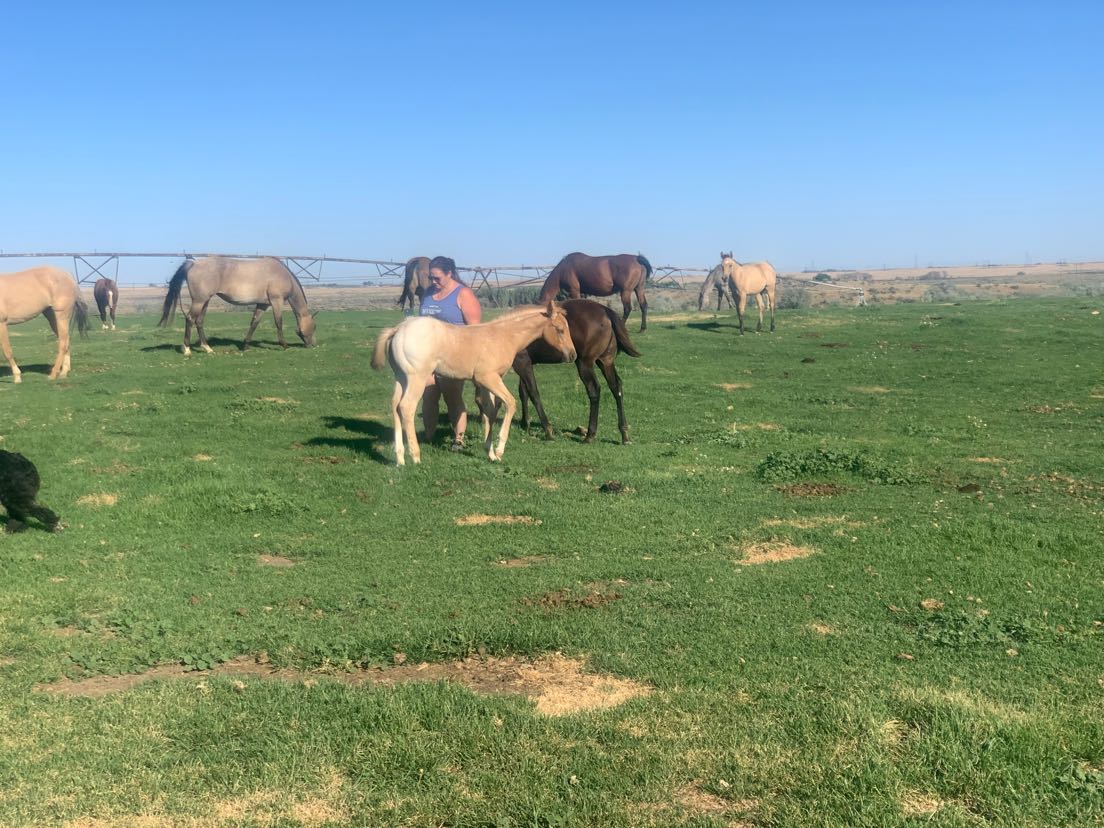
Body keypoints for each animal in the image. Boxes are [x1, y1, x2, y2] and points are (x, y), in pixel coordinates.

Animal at [158, 257, 317, 355]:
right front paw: (284, 345)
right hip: (199, 300)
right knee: (190, 319)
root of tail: (194, 263)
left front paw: (245, 345)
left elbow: (254, 322)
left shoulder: (263, 304)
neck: (282, 274)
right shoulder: (276, 301)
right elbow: (279, 322)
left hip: (205, 301)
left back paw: (207, 348)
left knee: (199, 321)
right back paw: (187, 349)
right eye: (314, 327)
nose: (313, 345)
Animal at [372, 302, 575, 465]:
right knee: (406, 407)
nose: (572, 355)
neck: (504, 336)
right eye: (560, 329)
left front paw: (490, 453)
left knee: (395, 406)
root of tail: (398, 329)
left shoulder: (485, 383)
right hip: (417, 378)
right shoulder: (488, 378)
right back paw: (415, 456)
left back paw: (400, 458)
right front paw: (499, 450)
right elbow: (510, 403)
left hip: (401, 378)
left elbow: (489, 413)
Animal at [513, 299, 641, 444]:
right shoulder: (526, 364)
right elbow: (523, 392)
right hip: (606, 361)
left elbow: (533, 393)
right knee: (616, 387)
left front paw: (547, 430)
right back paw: (624, 434)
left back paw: (590, 434)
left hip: (584, 363)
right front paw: (525, 423)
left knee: (594, 389)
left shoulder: (522, 362)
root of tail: (605, 311)